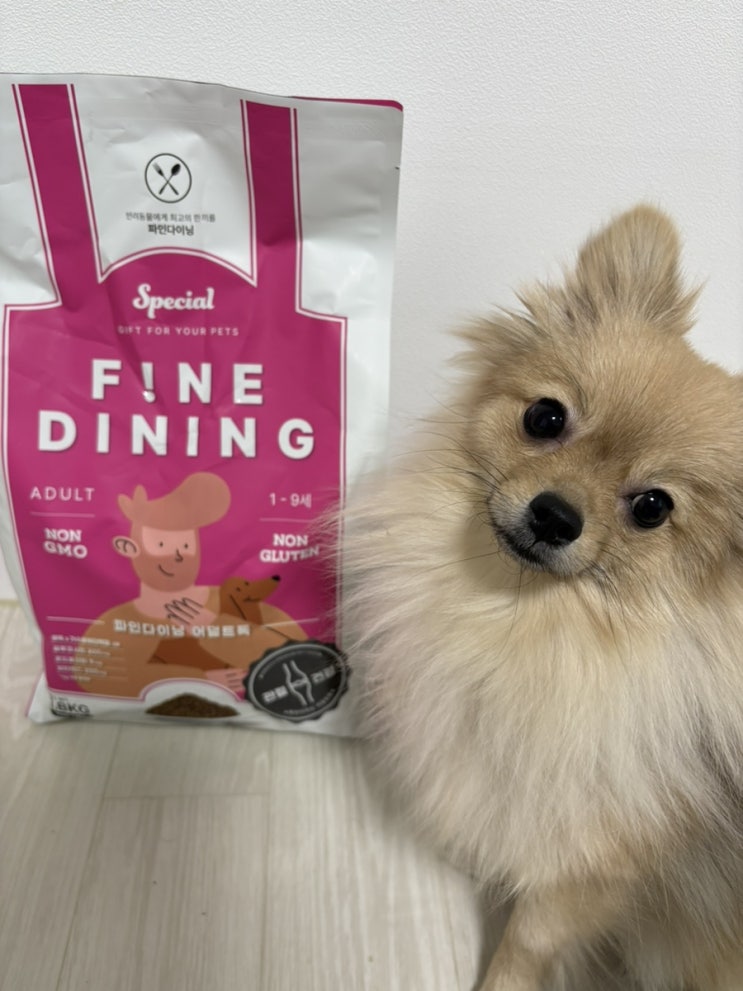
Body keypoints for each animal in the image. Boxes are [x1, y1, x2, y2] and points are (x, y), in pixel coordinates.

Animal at [341, 206, 743, 990]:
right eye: (546, 418)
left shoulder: (595, 863)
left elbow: (528, 941)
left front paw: (500, 981)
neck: (517, 619)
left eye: (652, 507)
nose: (555, 516)